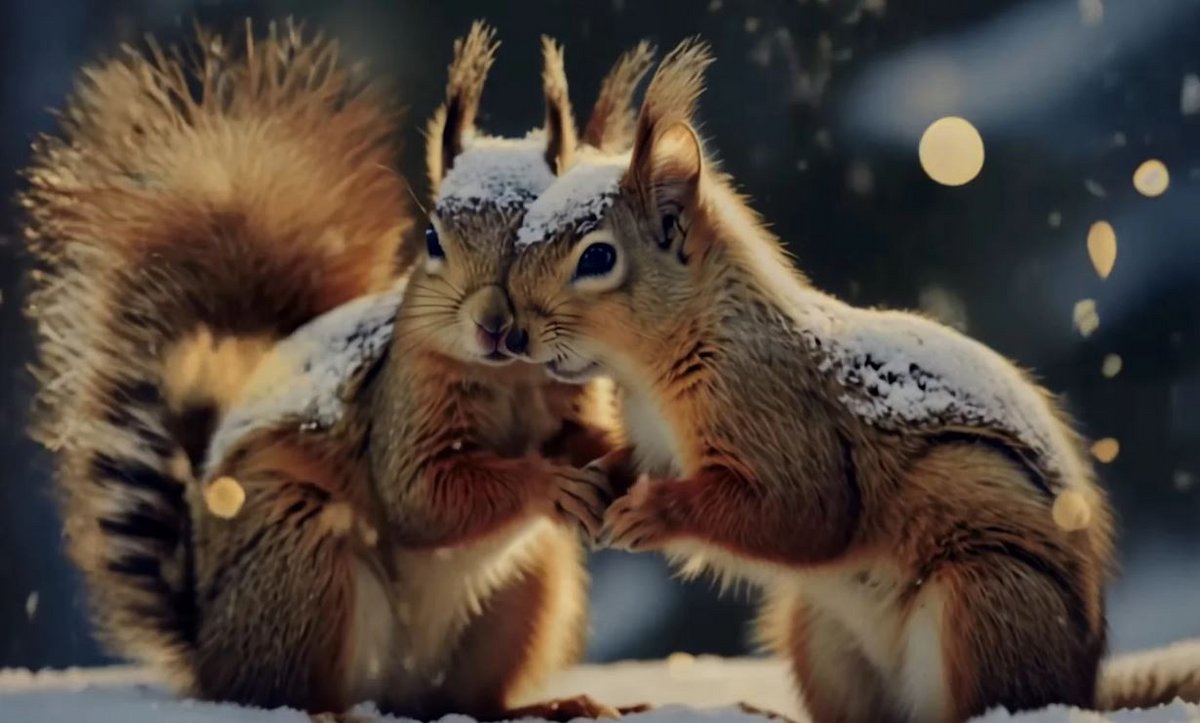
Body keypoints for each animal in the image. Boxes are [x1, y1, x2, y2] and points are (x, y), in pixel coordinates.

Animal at [21, 18, 657, 715]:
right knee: (289, 692)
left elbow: (581, 436)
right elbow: (423, 495)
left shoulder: (572, 394)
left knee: (467, 702)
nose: (494, 325)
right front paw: (546, 483)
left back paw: (546, 705)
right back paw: (334, 713)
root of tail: (209, 655)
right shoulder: (402, 407)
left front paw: (617, 457)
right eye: (432, 241)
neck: (509, 376)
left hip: (530, 590)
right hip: (300, 556)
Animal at [504, 40, 1200, 720]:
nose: (514, 334)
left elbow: (801, 510)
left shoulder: (775, 413)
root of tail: (1079, 685)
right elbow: (633, 463)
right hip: (821, 635)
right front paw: (587, 487)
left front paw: (655, 510)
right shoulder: (655, 440)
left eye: (597, 257)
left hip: (986, 597)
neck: (655, 369)